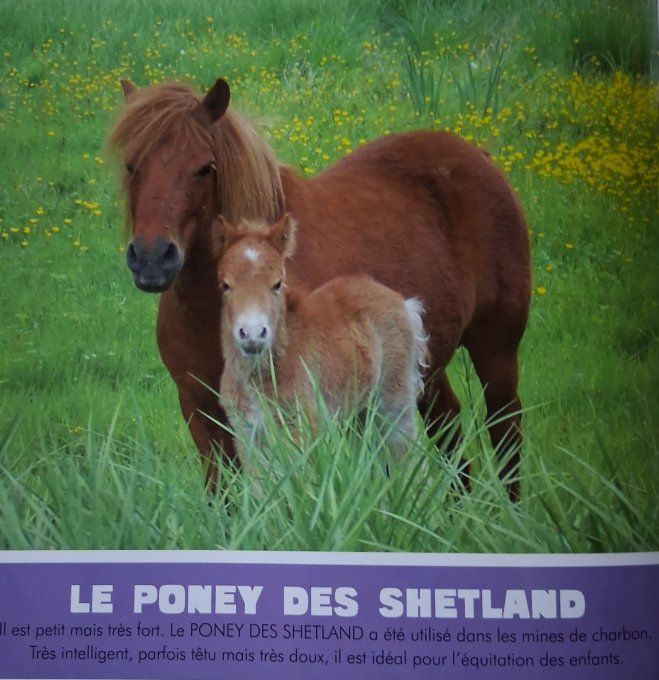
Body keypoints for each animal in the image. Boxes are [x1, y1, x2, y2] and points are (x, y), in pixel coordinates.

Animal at [213, 213, 428, 461]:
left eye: (277, 283)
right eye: (225, 285)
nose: (253, 334)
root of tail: (401, 302)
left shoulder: (301, 428)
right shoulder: (247, 435)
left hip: (394, 405)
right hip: (359, 414)